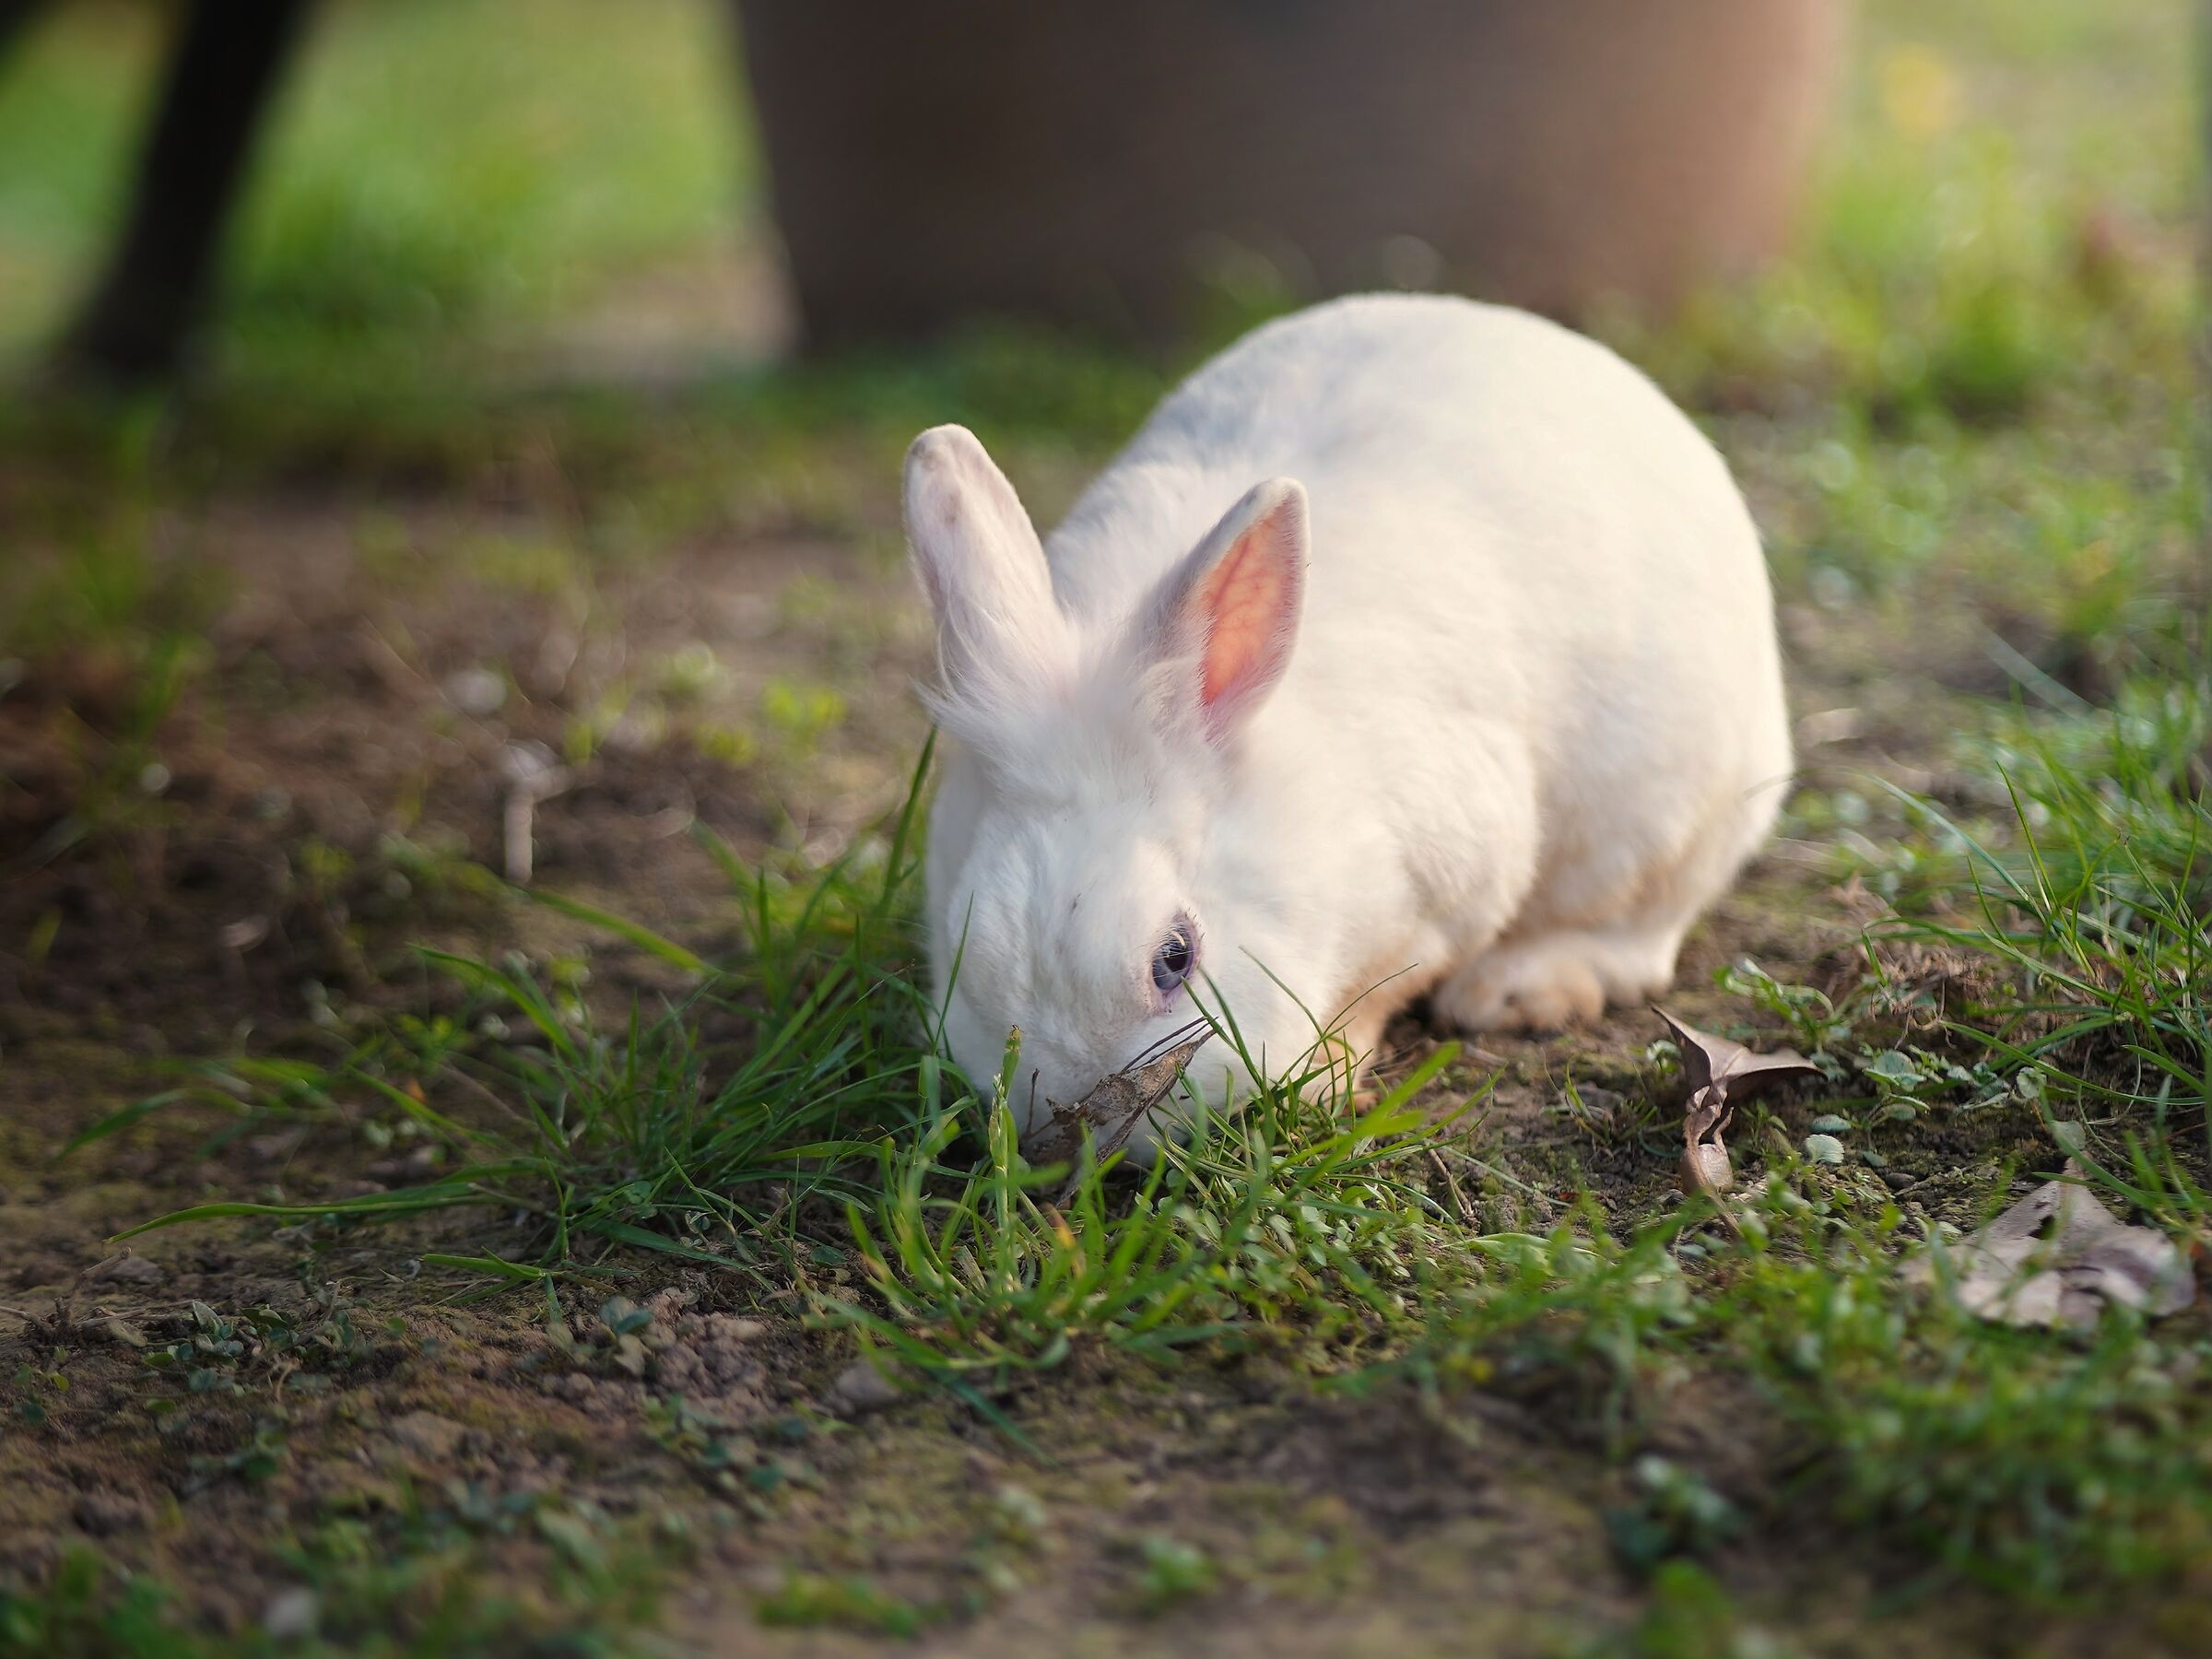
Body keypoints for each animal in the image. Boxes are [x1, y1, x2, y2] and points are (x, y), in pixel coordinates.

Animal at [904, 292, 1791, 1145]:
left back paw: (1517, 990)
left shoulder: (1443, 891)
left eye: (1175, 957)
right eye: (965, 941)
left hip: (1665, 823)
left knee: (1638, 935)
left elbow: (1385, 987)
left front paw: (1331, 1074)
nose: (1071, 1131)